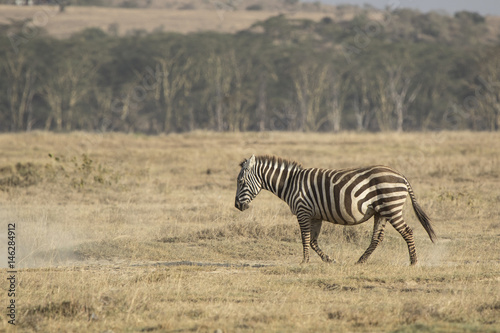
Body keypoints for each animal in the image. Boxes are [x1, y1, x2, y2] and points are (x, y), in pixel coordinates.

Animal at [234, 154, 434, 264]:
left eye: (241, 182)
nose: (237, 206)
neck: (291, 183)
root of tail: (401, 176)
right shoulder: (315, 216)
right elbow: (313, 241)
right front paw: (329, 260)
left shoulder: (303, 211)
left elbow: (305, 238)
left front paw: (304, 261)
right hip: (381, 212)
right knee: (377, 238)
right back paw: (360, 261)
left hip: (391, 207)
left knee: (407, 231)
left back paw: (413, 262)